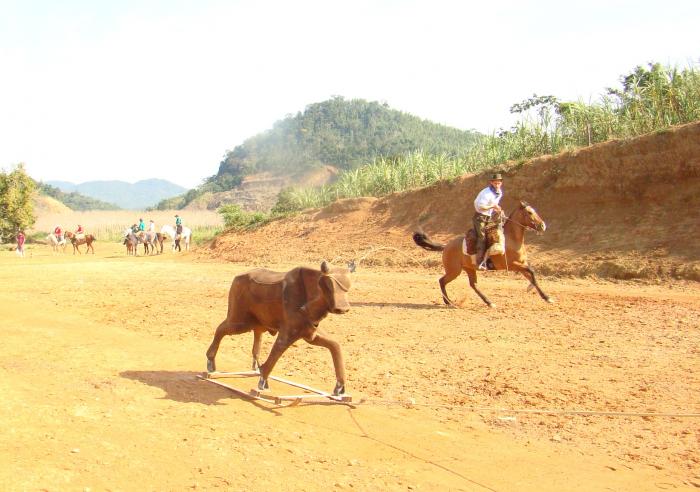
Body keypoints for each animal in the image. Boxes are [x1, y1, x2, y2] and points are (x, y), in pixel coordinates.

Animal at [412, 201, 548, 308]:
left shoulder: (521, 264)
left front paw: (545, 296)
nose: (543, 225)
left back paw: (489, 302)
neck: (510, 240)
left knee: (473, 285)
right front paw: (543, 295)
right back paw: (449, 302)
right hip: (454, 271)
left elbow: (532, 275)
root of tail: (446, 246)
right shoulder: (512, 265)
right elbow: (532, 272)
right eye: (529, 212)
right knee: (442, 281)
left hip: (469, 269)